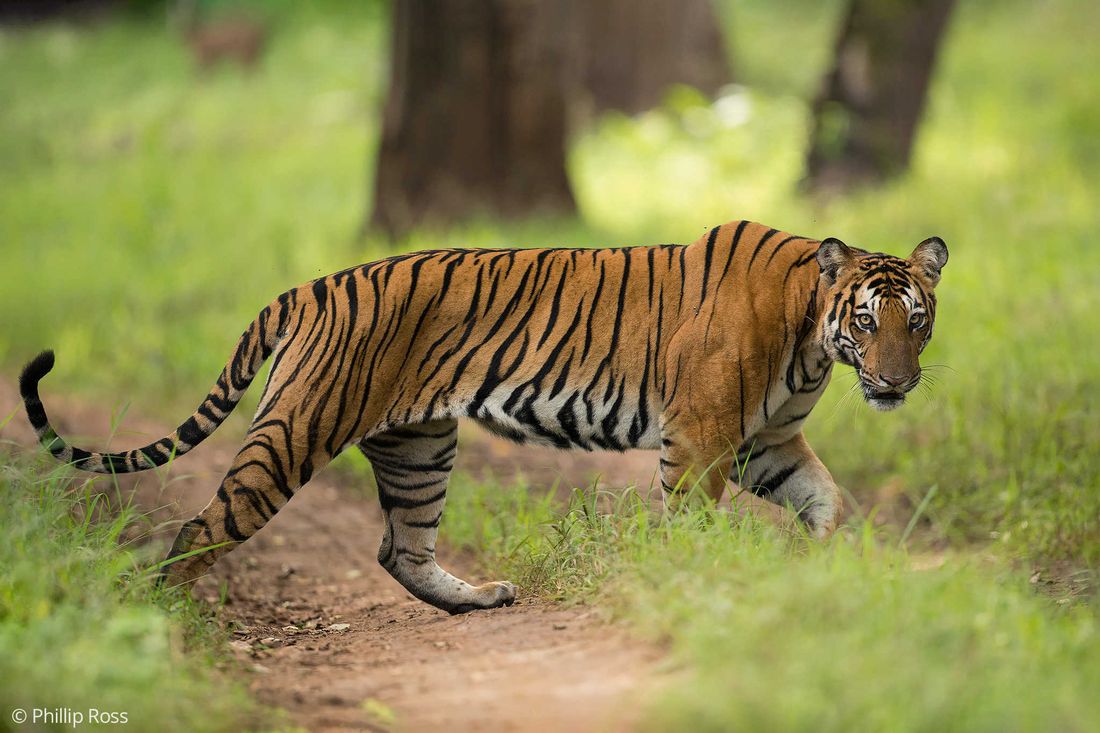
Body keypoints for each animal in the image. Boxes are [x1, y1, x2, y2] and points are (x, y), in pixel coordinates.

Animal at [19, 220, 947, 614]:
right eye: (869, 321)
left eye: (917, 319)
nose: (897, 383)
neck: (813, 335)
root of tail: (311, 286)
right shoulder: (706, 438)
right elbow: (690, 522)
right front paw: (696, 577)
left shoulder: (767, 443)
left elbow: (827, 501)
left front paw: (817, 568)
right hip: (292, 434)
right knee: (197, 529)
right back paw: (163, 618)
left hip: (420, 443)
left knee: (400, 547)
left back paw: (477, 599)